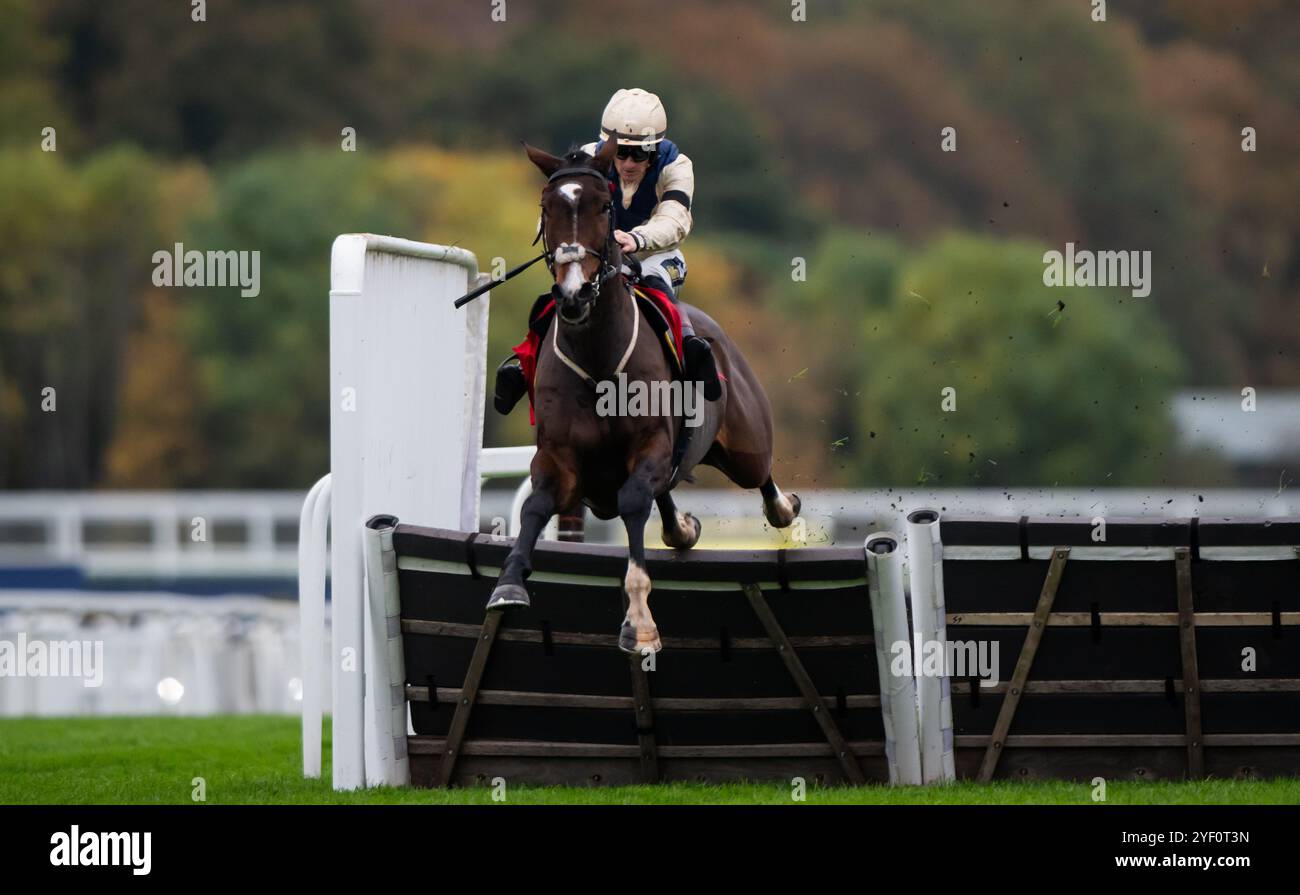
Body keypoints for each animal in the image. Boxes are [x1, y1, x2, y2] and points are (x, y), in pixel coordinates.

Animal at [483, 136, 795, 653]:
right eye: (547, 208)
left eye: (604, 206)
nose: (574, 294)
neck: (597, 360)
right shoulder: (559, 457)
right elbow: (536, 504)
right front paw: (508, 583)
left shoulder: (649, 446)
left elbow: (631, 503)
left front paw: (640, 619)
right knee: (667, 499)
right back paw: (683, 528)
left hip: (745, 445)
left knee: (760, 477)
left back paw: (784, 507)